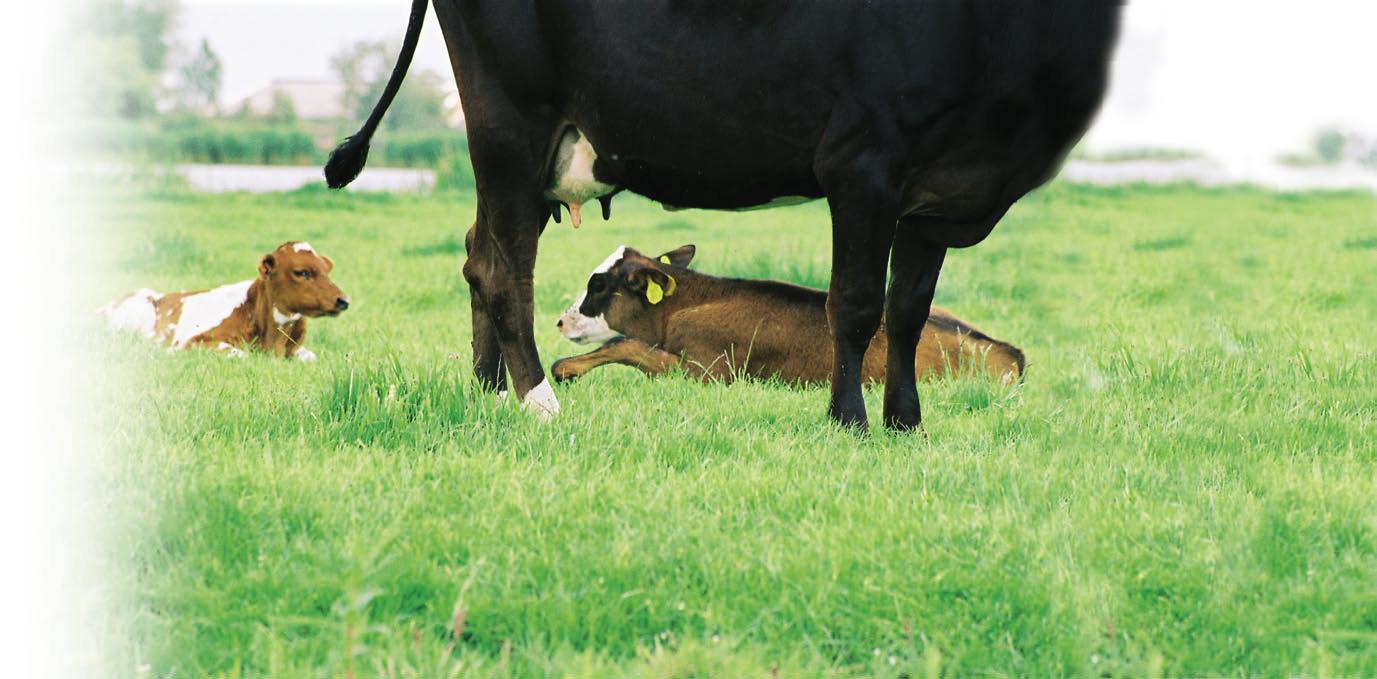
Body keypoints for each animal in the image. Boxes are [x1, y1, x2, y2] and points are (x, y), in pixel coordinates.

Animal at [101, 242, 347, 360]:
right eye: (301, 272)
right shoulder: (193, 342)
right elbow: (240, 355)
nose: (343, 300)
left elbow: (311, 357)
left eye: (327, 270)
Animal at [550, 246, 1024, 385]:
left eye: (598, 285)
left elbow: (626, 343)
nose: (559, 320)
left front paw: (567, 368)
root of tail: (1008, 350)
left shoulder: (712, 371)